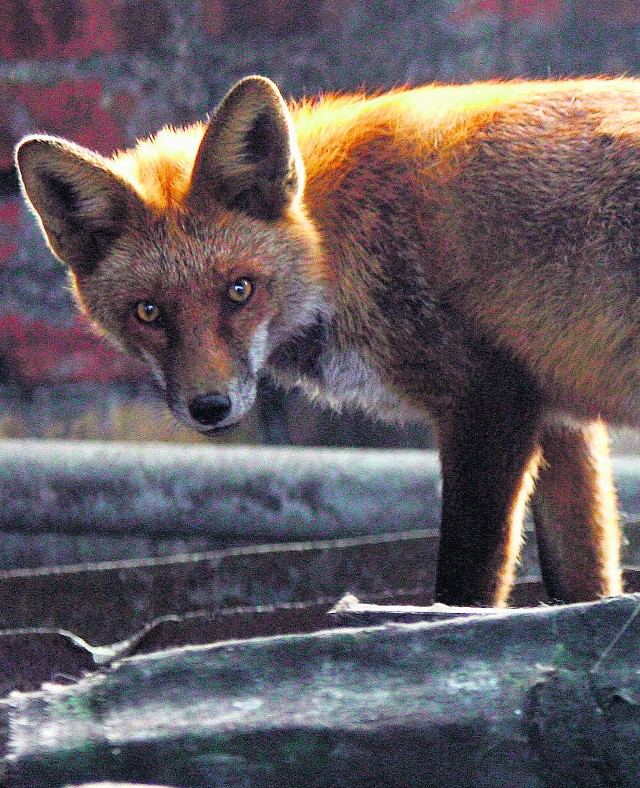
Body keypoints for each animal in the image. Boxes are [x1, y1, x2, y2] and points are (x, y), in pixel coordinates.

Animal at [15, 74, 640, 608]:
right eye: (148, 312)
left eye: (240, 290)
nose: (209, 407)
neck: (335, 243)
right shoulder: (558, 413)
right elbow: (583, 580)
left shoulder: (488, 404)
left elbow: (464, 588)